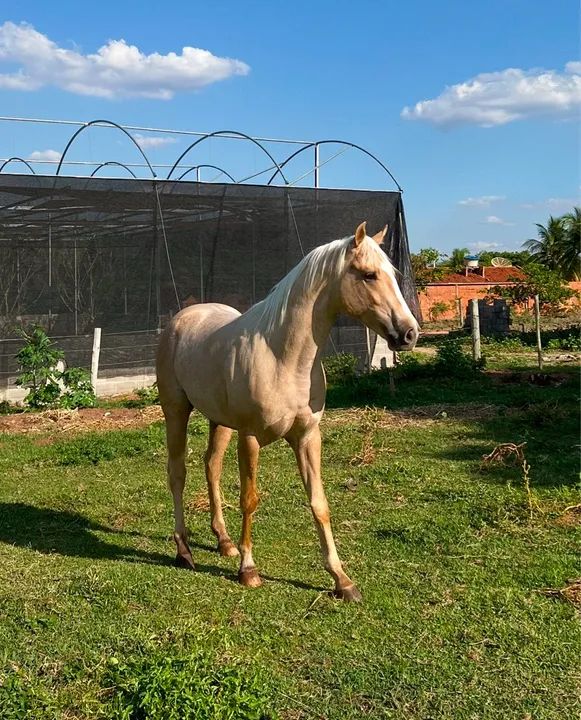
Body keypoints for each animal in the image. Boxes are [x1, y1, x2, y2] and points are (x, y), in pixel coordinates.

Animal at [156, 221, 419, 601]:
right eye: (369, 275)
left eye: (395, 275)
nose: (409, 333)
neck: (283, 357)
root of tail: (182, 319)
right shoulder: (250, 438)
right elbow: (249, 499)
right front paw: (249, 571)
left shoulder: (307, 437)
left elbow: (319, 503)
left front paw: (342, 580)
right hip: (176, 411)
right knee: (177, 473)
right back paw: (184, 551)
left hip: (219, 421)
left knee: (211, 467)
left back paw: (224, 541)